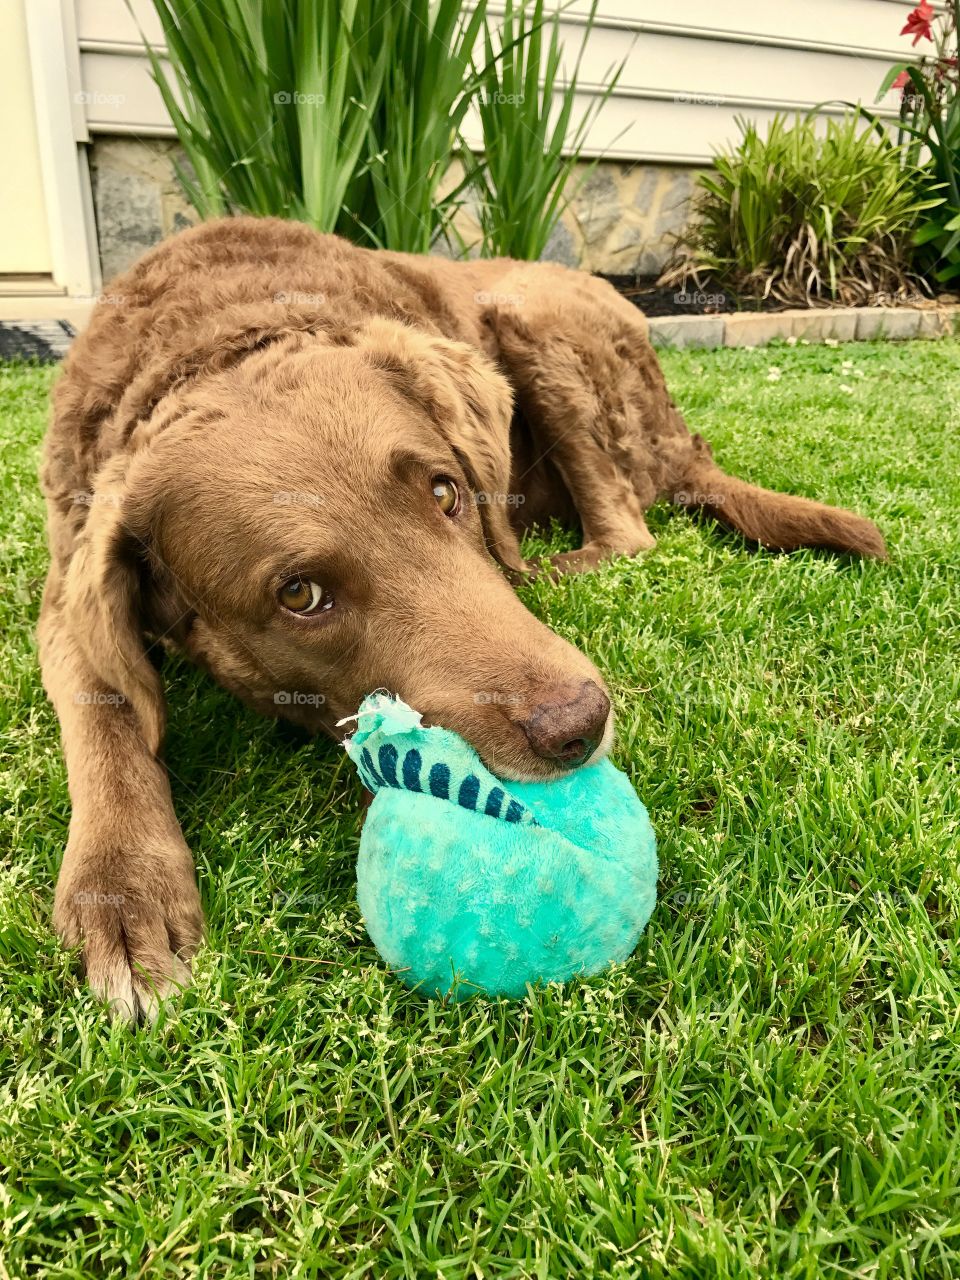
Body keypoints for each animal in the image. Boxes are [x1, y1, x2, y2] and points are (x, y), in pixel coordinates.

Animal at [39, 217, 885, 1018]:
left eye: (447, 492)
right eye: (301, 595)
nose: (579, 724)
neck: (211, 331)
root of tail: (684, 440)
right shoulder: (64, 592)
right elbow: (104, 711)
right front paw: (121, 888)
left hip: (533, 318)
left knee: (625, 528)